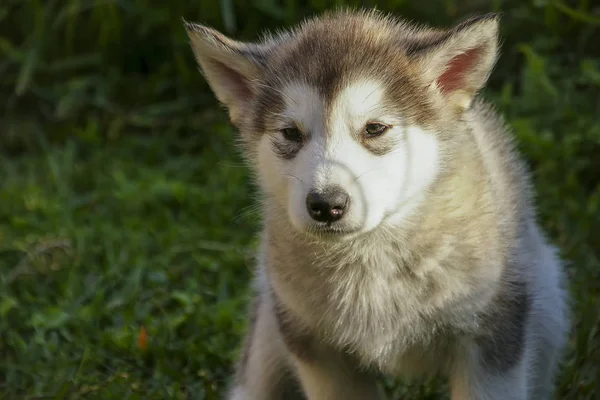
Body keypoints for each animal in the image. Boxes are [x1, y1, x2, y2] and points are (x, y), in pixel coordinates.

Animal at [185, 8, 568, 400]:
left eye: (374, 128)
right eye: (290, 133)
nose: (326, 204)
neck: (369, 254)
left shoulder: (491, 339)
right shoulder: (320, 352)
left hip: (549, 299)